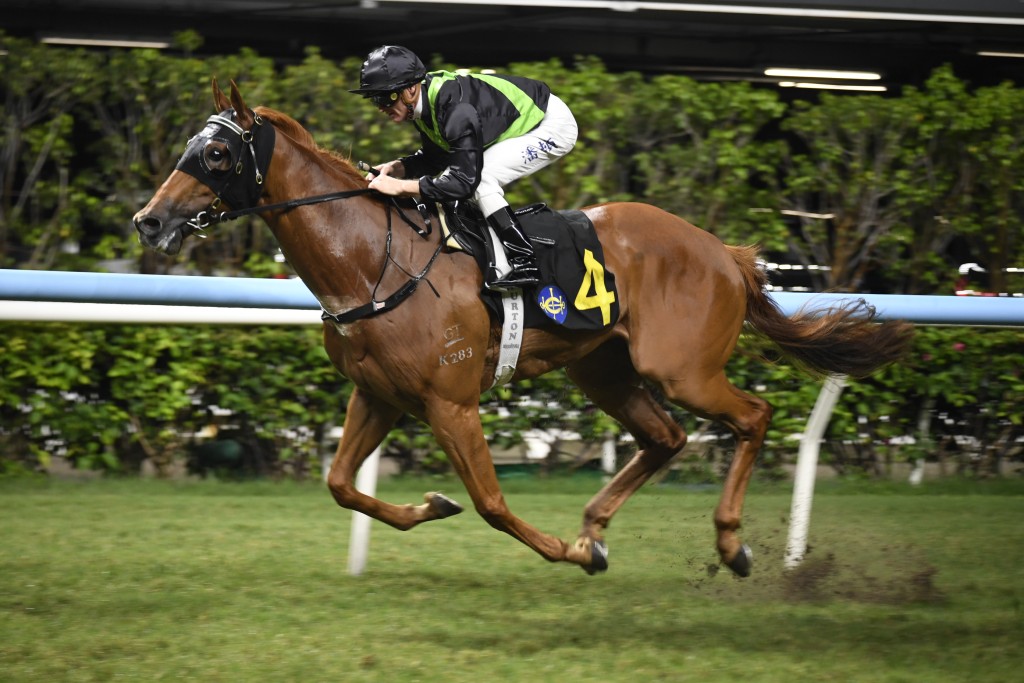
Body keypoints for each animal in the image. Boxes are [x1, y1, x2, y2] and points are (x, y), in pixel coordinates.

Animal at [134, 80, 914, 577]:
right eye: (190, 147)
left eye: (217, 154)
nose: (149, 220)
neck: (372, 259)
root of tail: (724, 251)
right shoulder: (378, 395)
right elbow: (340, 483)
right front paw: (433, 503)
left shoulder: (450, 402)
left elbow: (490, 501)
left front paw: (562, 550)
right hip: (602, 368)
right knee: (665, 437)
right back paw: (597, 527)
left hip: (681, 368)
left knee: (753, 415)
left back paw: (730, 546)